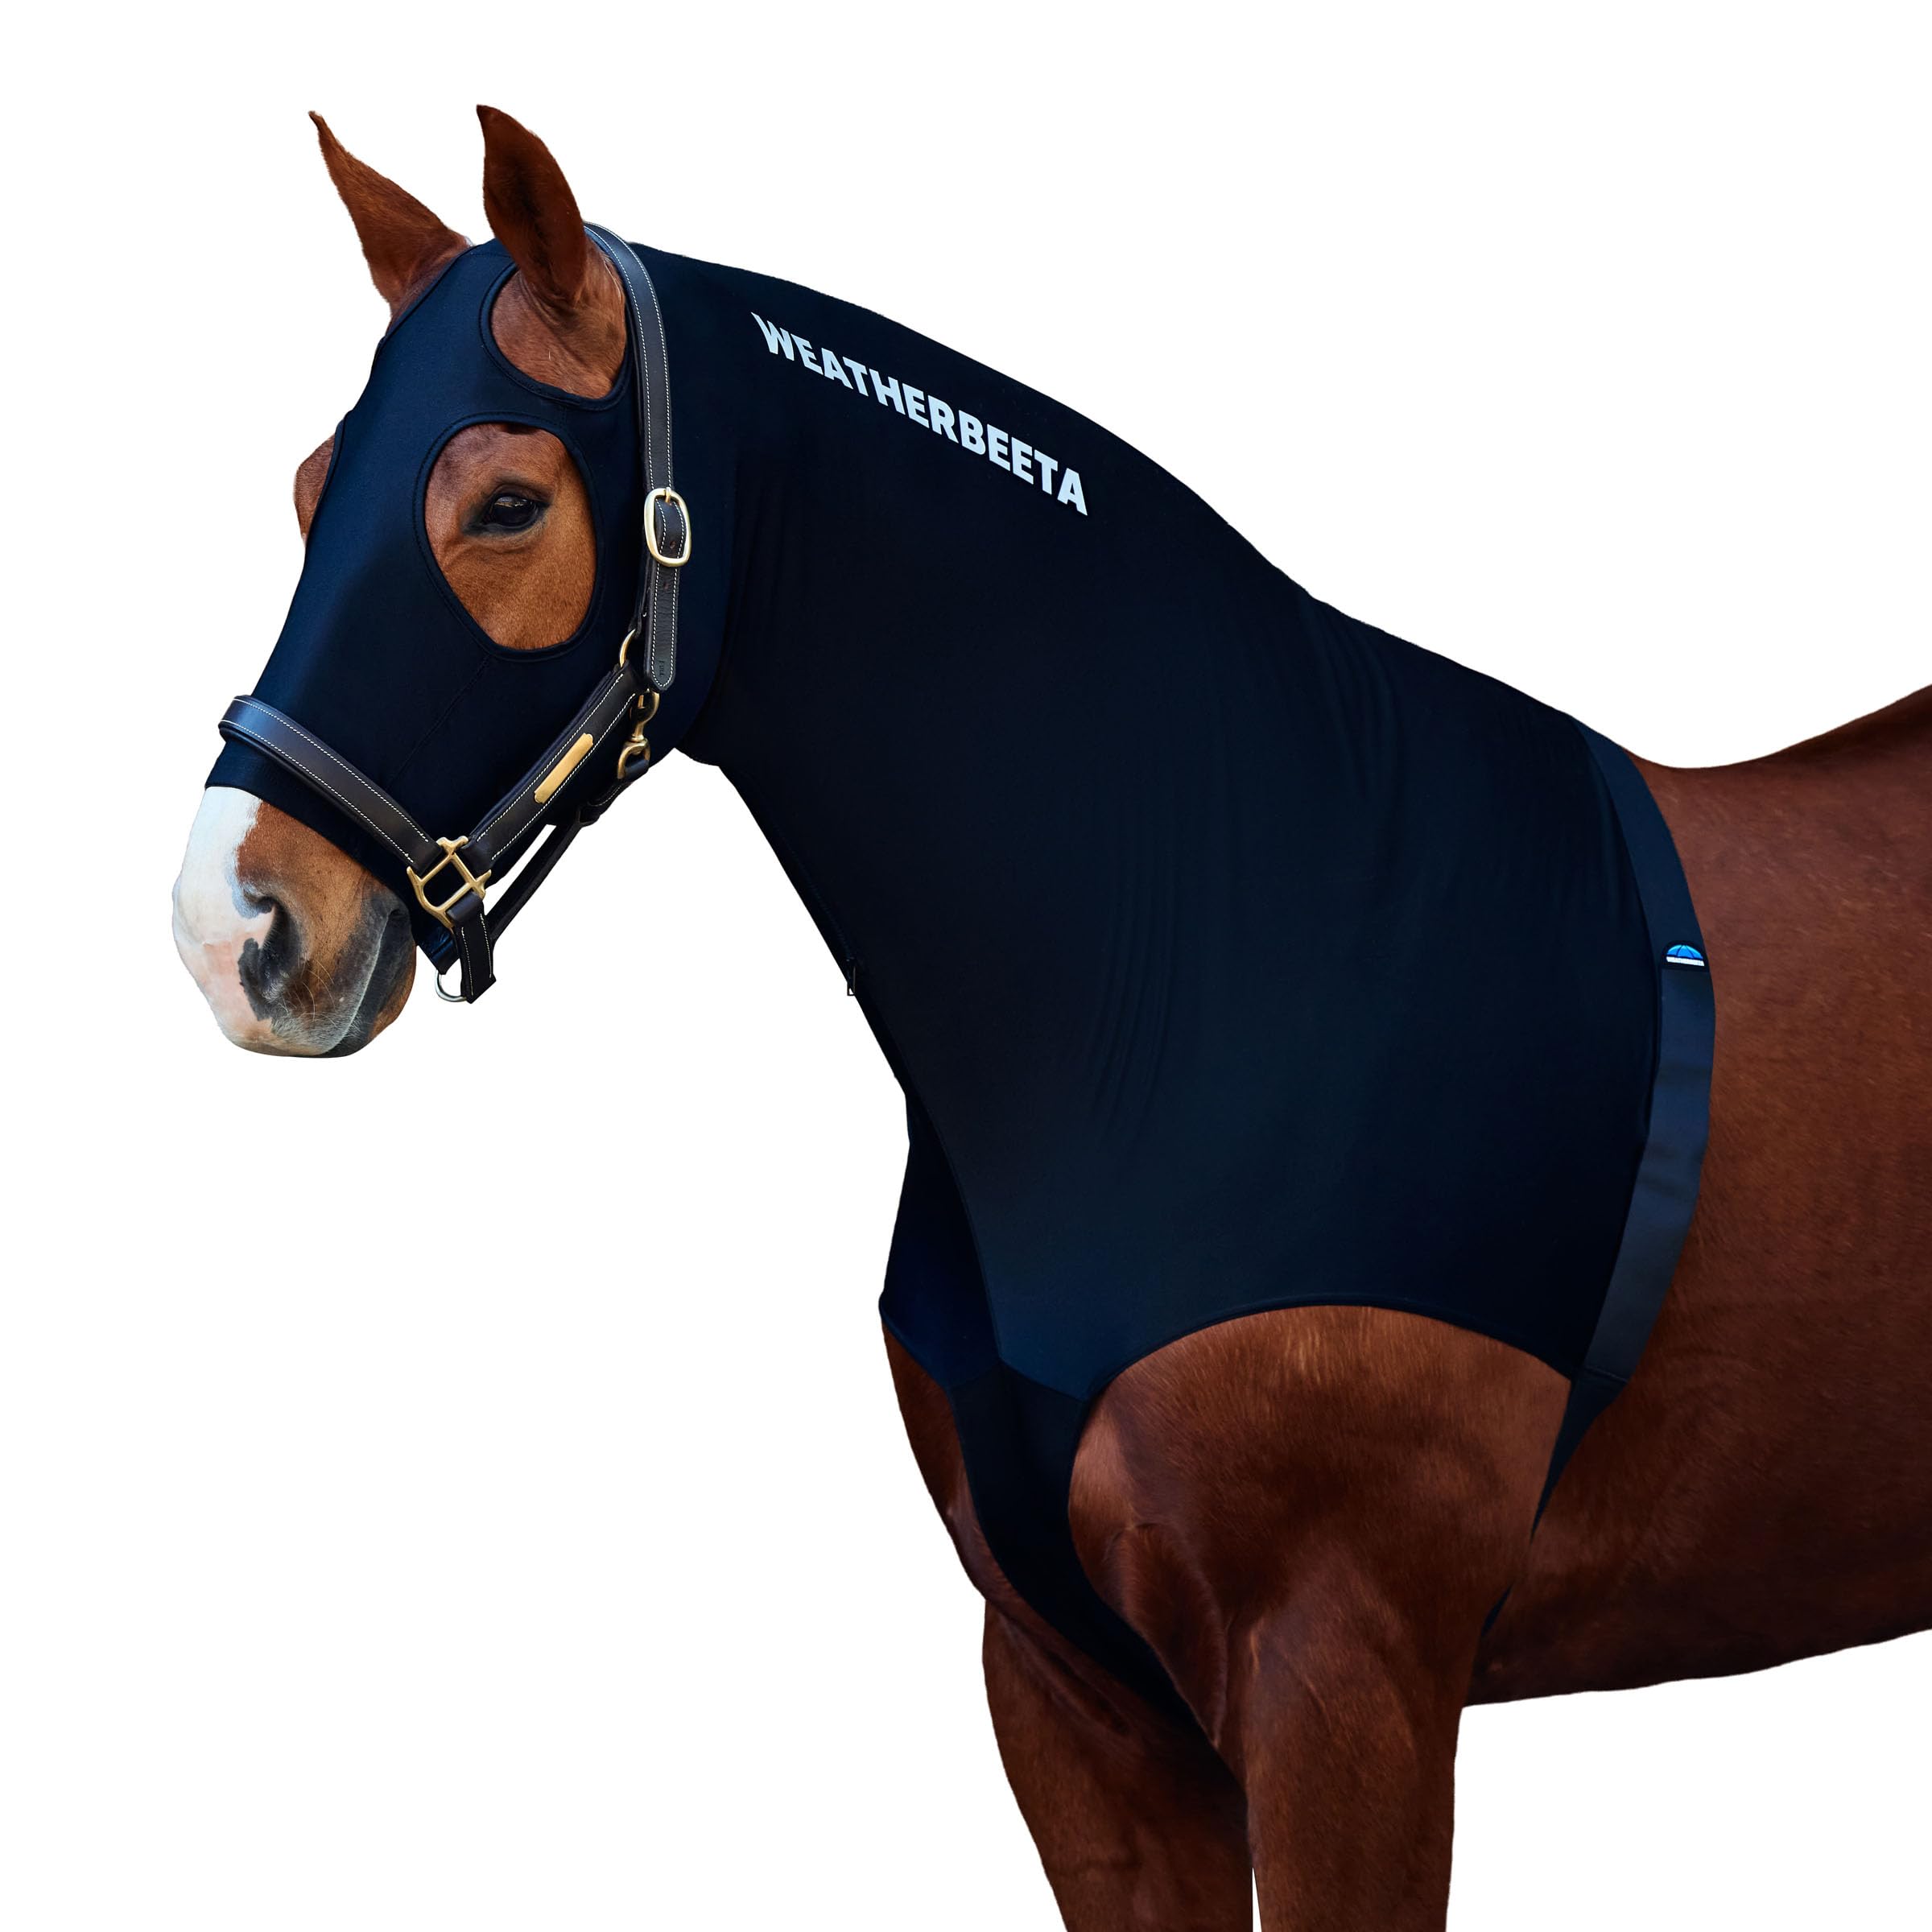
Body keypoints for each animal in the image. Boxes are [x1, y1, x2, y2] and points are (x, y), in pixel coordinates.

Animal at [172, 108, 1931, 1930]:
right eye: (308, 490)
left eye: (508, 503)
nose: (237, 928)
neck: (1205, 972)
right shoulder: (1073, 1701)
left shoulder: (1350, 1689)